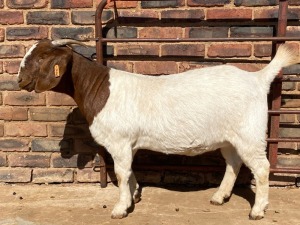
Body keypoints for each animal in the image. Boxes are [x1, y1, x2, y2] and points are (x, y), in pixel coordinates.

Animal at [18, 39, 300, 220]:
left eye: (42, 58)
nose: (19, 80)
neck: (99, 89)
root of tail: (257, 78)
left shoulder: (119, 141)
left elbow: (120, 173)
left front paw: (120, 208)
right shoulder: (128, 144)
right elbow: (128, 171)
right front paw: (134, 195)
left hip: (249, 133)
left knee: (261, 168)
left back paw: (257, 210)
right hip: (230, 138)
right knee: (233, 163)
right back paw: (219, 197)